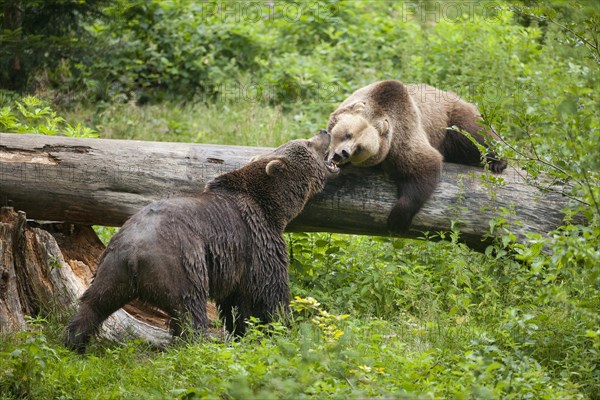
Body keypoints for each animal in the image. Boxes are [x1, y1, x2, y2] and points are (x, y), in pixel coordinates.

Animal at [67, 131, 338, 354]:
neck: (273, 207)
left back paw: (75, 341)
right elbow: (269, 291)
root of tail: (133, 254)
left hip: (111, 268)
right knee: (190, 309)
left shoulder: (235, 263)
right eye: (307, 143)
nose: (323, 131)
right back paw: (198, 344)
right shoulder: (256, 241)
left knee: (94, 303)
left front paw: (242, 331)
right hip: (180, 263)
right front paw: (280, 327)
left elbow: (236, 304)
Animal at [326, 79, 508, 231]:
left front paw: (397, 219)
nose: (343, 153)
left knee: (476, 135)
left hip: (450, 121)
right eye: (347, 134)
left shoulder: (401, 136)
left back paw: (498, 162)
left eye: (360, 148)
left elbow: (423, 165)